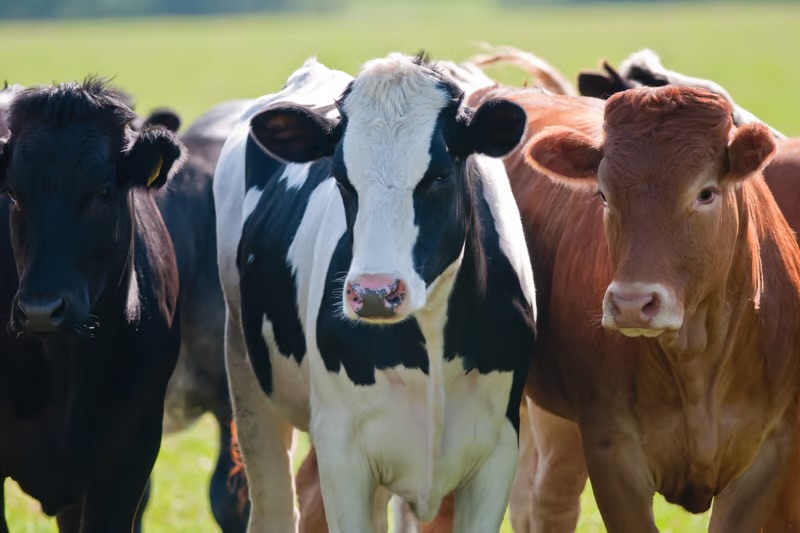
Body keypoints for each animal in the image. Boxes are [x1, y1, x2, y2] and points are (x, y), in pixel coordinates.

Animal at [213, 53, 536, 532]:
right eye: (342, 179)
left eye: (439, 175)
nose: (373, 293)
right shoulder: (341, 450)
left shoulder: (498, 449)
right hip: (246, 374)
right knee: (274, 503)